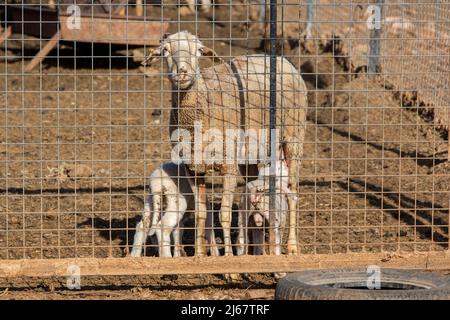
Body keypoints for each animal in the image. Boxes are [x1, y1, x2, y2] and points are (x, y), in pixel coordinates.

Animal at [142, 31, 308, 256]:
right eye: (165, 51)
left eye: (198, 51)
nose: (183, 72)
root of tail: (281, 59)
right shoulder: (192, 168)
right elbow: (202, 213)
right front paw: (201, 254)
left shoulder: (228, 166)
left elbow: (225, 214)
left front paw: (228, 257)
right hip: (250, 157)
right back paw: (254, 246)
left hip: (293, 137)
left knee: (292, 192)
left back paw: (291, 245)